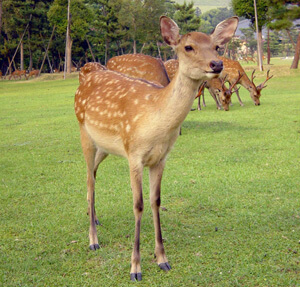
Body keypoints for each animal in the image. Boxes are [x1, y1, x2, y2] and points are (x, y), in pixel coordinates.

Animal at [74, 15, 239, 282]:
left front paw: (162, 258)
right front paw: (135, 268)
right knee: (89, 179)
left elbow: (156, 201)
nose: (217, 63)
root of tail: (83, 82)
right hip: (84, 133)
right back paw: (93, 240)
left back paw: (94, 218)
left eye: (216, 46)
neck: (156, 123)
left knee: (92, 176)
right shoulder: (134, 154)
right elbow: (138, 205)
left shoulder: (161, 158)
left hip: (105, 146)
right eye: (188, 47)